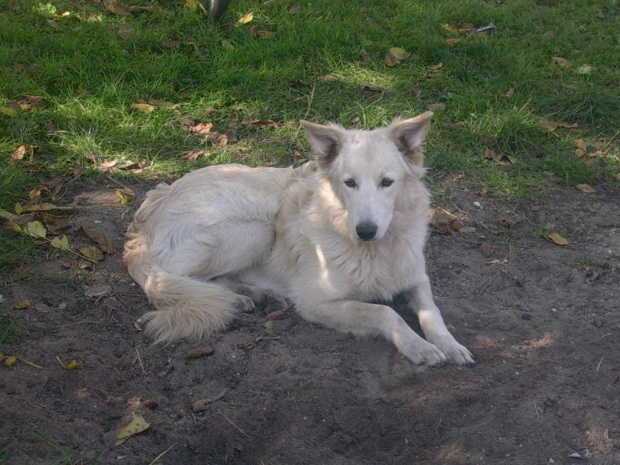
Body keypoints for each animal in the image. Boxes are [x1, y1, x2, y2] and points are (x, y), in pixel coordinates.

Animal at [124, 113, 474, 366]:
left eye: (387, 182)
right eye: (349, 183)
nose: (365, 230)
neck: (377, 251)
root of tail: (151, 207)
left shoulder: (415, 278)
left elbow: (432, 312)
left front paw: (451, 345)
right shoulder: (315, 302)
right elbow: (384, 313)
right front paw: (418, 347)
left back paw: (254, 295)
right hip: (259, 222)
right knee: (172, 282)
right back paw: (237, 298)